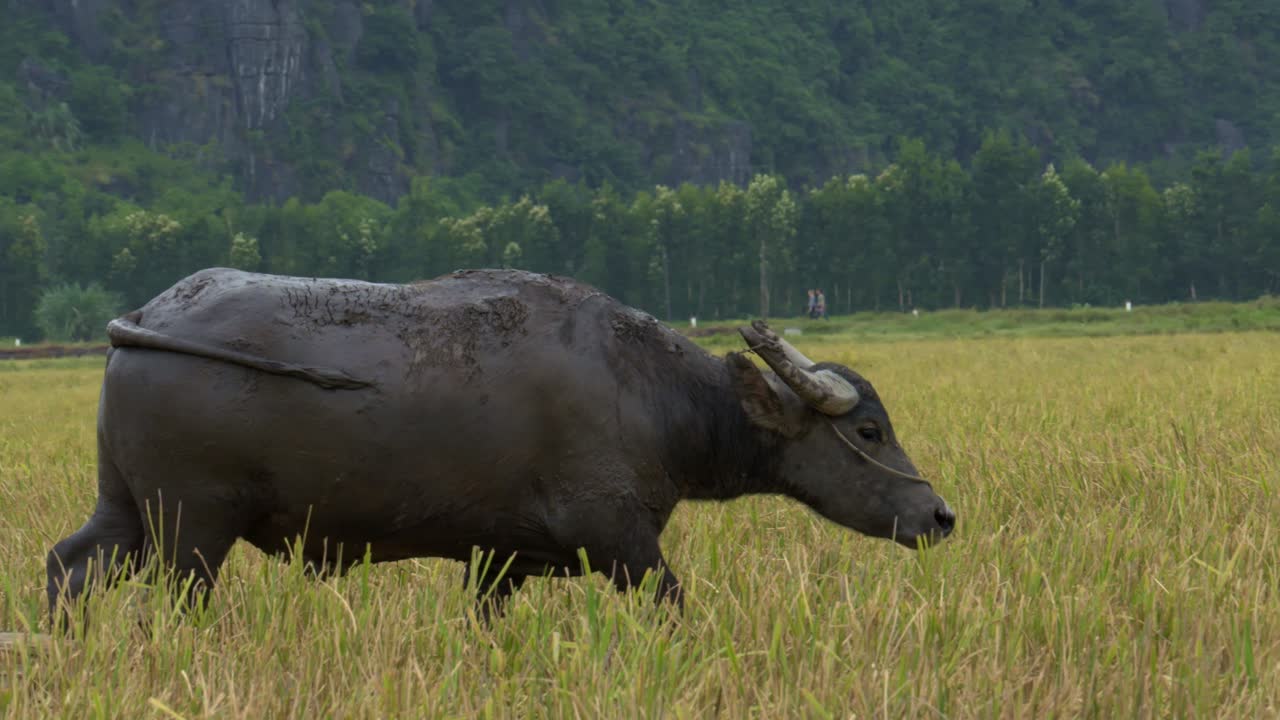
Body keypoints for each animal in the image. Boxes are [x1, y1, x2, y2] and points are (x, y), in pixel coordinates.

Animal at [47, 268, 954, 622]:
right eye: (868, 429)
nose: (940, 516)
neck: (648, 395)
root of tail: (149, 317)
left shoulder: (500, 561)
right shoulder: (622, 542)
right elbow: (672, 606)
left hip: (126, 508)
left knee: (69, 565)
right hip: (192, 526)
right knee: (173, 601)